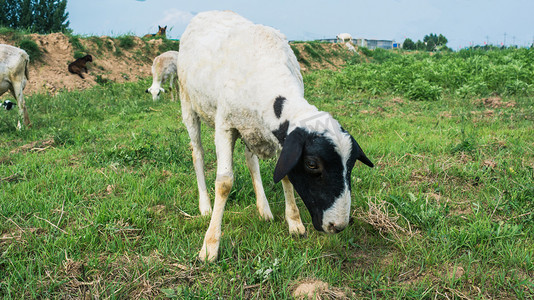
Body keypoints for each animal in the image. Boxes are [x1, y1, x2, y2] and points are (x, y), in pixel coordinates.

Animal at [178, 10, 374, 262]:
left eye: (350, 165)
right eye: (312, 164)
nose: (338, 226)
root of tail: (209, 12)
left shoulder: (281, 138)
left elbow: (286, 174)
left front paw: (294, 222)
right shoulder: (225, 126)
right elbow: (224, 184)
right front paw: (210, 245)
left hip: (250, 128)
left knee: (250, 160)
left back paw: (264, 209)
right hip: (188, 103)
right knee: (198, 153)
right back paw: (205, 206)